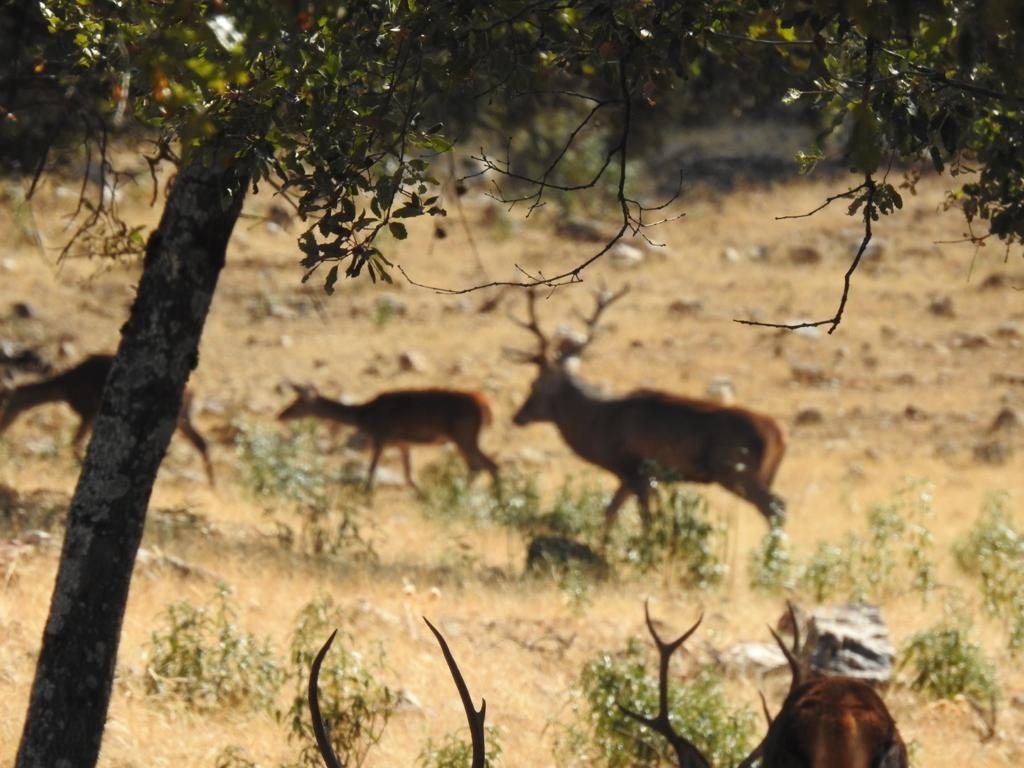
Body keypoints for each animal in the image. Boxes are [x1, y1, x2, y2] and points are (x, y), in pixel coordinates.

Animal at [0, 353, 216, 485]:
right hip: (183, 418)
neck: (64, 389)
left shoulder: (88, 411)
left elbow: (75, 444)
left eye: (6, 405)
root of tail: (195, 393)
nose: (2, 428)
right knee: (202, 442)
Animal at [277, 385, 500, 492]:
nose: (281, 415)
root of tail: (485, 404)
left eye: (298, 403)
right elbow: (409, 476)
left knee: (488, 465)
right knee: (477, 466)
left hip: (464, 434)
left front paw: (366, 496)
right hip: (464, 437)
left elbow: (371, 471)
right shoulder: (402, 443)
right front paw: (422, 495)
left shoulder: (381, 436)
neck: (363, 417)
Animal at [509, 287, 786, 543]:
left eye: (534, 384)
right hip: (758, 475)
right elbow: (611, 511)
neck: (600, 423)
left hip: (738, 471)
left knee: (776, 507)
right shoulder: (628, 475)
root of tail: (778, 436)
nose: (518, 416)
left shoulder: (637, 468)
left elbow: (646, 519)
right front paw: (603, 545)